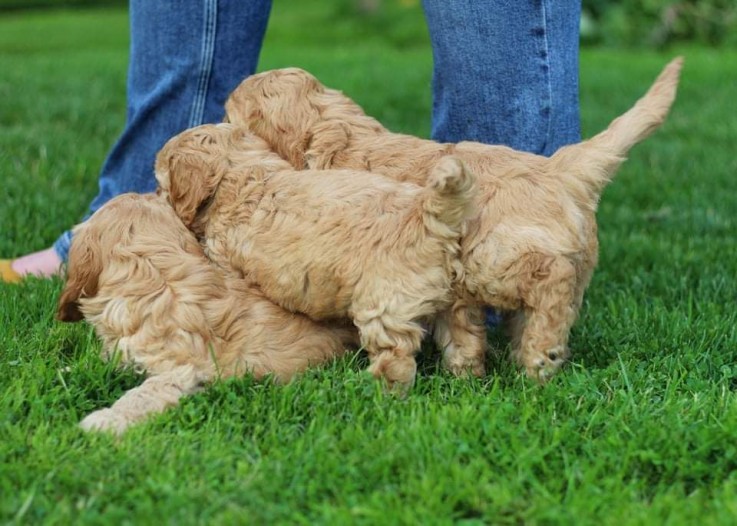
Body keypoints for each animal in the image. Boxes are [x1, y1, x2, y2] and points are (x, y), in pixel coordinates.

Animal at [156, 126, 478, 394]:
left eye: (161, 183)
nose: (157, 195)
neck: (243, 171)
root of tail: (428, 216)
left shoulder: (226, 260)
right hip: (453, 301)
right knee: (464, 341)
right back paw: (465, 381)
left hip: (385, 306)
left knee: (395, 357)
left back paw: (379, 393)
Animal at [224, 58, 684, 384]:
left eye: (230, 115)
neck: (343, 135)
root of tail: (562, 170)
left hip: (493, 260)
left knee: (549, 277)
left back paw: (540, 354)